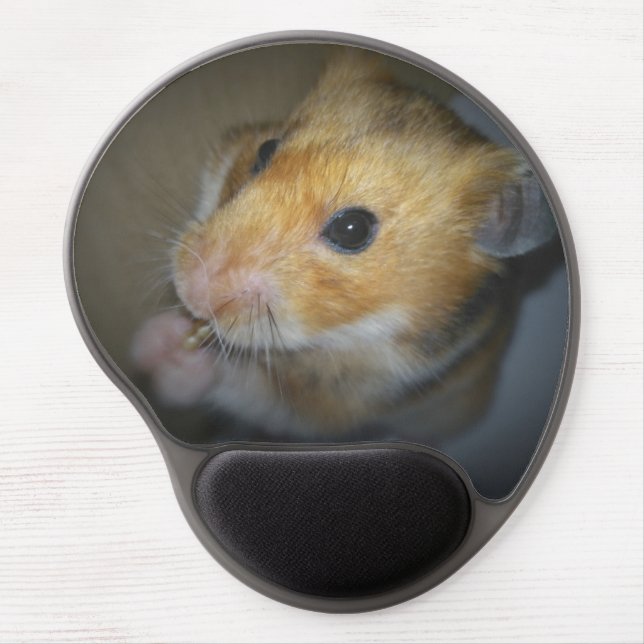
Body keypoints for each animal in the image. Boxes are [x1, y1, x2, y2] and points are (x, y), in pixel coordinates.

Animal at [131, 49, 556, 437]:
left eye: (352, 230)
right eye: (265, 150)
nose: (190, 289)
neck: (353, 333)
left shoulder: (332, 408)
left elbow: (251, 391)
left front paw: (168, 351)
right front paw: (158, 339)